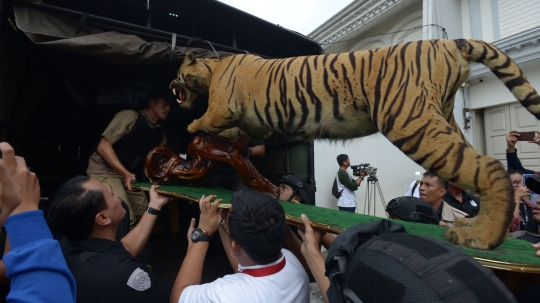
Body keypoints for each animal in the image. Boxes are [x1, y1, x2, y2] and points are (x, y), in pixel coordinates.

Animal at [170, 39, 540, 251]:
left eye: (178, 72)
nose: (171, 84)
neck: (213, 66)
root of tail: (449, 41)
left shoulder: (222, 107)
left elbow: (207, 117)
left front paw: (189, 126)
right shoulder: (253, 124)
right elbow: (235, 134)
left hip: (411, 120)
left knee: (489, 166)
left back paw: (480, 237)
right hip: (442, 115)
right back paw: (477, 228)